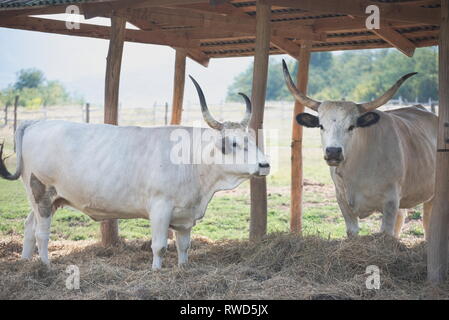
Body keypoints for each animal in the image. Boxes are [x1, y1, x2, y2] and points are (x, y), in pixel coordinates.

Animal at [0, 78, 270, 270]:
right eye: (234, 143)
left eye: (252, 138)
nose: (264, 164)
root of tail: (36, 123)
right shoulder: (160, 208)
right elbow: (159, 246)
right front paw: (156, 271)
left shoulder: (185, 215)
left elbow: (184, 246)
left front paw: (183, 268)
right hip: (41, 193)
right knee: (41, 233)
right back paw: (46, 266)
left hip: (49, 199)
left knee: (29, 227)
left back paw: (25, 263)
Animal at [282, 60, 436, 239]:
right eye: (321, 125)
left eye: (351, 126)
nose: (333, 151)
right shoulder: (342, 201)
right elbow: (353, 231)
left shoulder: (391, 202)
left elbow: (386, 232)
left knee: (428, 222)